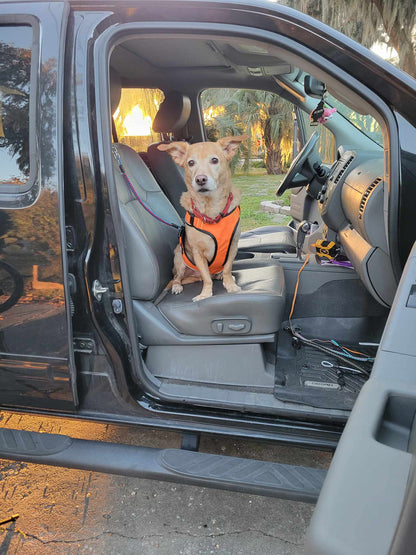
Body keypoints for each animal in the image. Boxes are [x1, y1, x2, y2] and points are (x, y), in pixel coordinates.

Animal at [156, 136, 247, 302]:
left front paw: (230, 285)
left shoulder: (233, 246)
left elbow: (227, 268)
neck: (211, 211)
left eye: (214, 160)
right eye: (191, 163)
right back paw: (177, 286)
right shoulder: (198, 253)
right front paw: (205, 294)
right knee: (178, 278)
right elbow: (206, 278)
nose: (200, 179)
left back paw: (220, 276)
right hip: (179, 257)